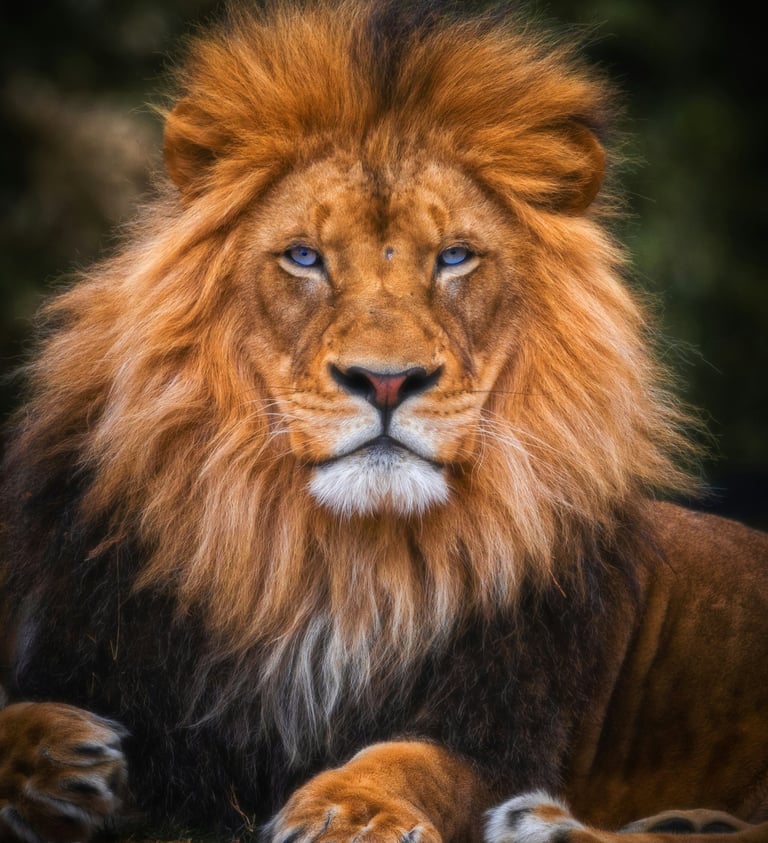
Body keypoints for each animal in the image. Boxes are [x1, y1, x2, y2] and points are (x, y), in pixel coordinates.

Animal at [1, 1, 767, 842]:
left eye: (455, 257)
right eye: (304, 256)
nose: (387, 380)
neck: (338, 563)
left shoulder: (505, 725)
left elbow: (414, 758)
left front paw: (349, 810)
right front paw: (53, 759)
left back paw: (553, 823)